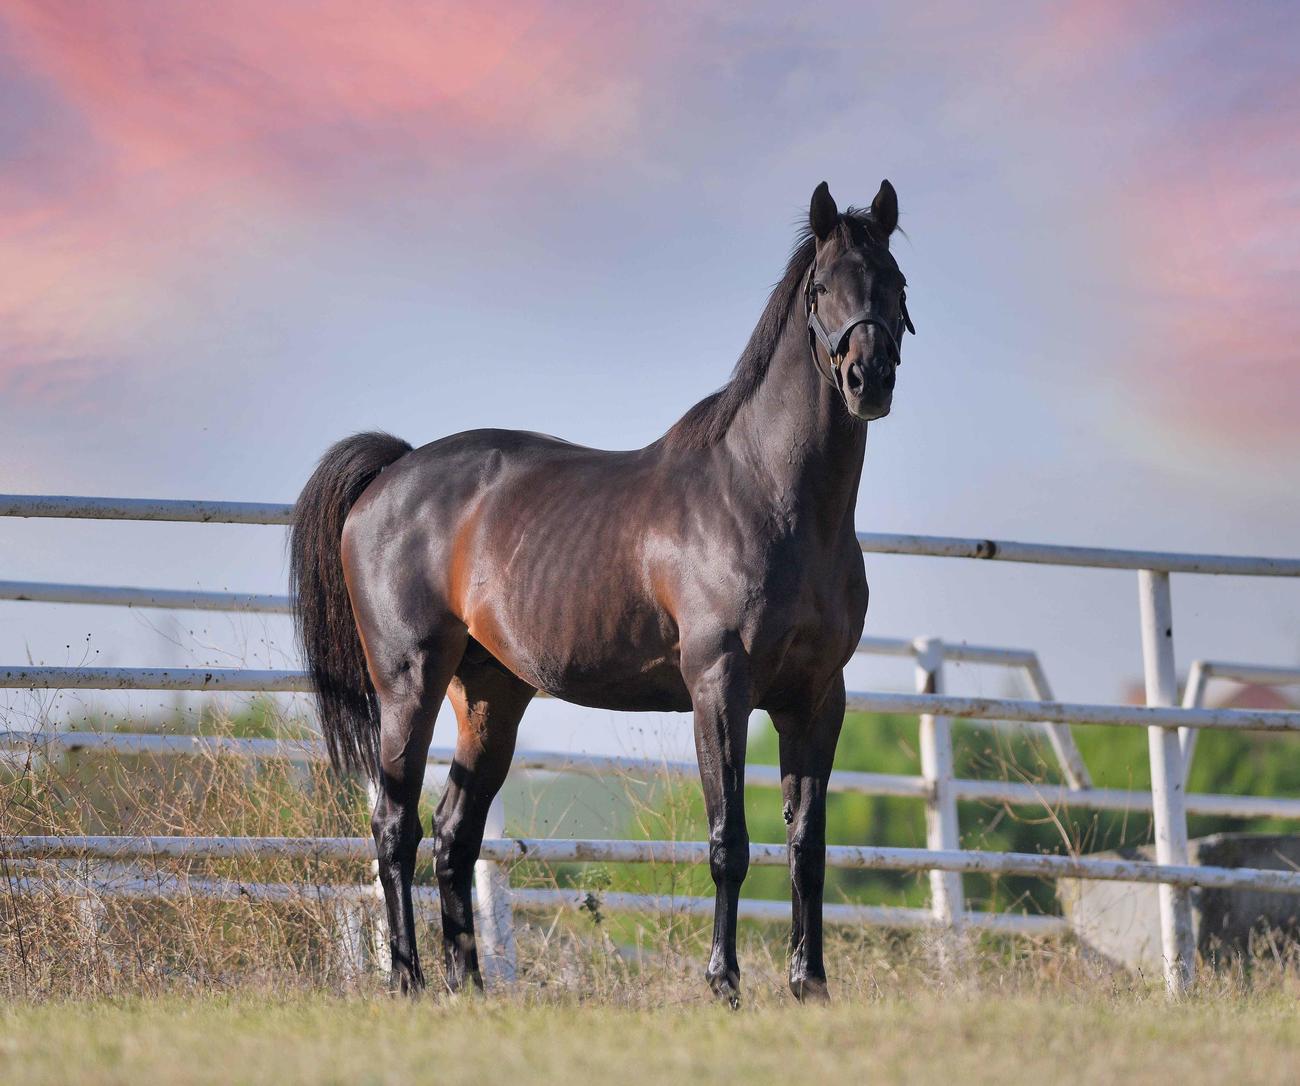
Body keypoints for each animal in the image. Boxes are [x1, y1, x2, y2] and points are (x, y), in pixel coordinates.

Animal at [290, 180, 915, 1004]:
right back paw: (409, 981)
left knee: (455, 834)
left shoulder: (816, 697)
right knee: (396, 827)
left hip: (490, 697)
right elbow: (730, 842)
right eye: (821, 287)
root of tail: (392, 471)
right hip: (408, 684)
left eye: (897, 281)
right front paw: (724, 984)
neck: (770, 496)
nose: (869, 380)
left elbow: (807, 848)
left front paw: (809, 986)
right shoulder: (720, 687)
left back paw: (470, 987)